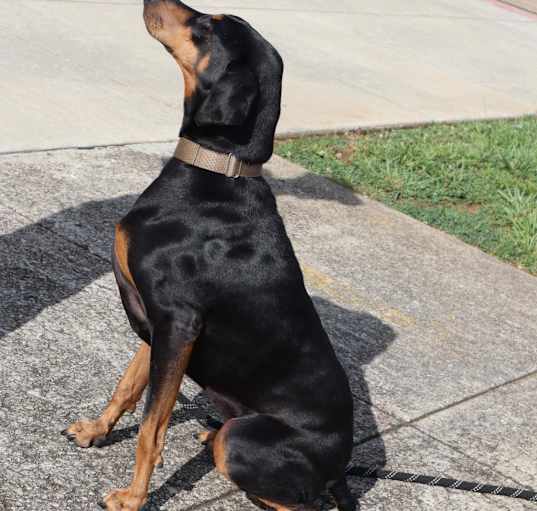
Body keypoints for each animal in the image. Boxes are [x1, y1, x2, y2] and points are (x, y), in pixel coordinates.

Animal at [61, 2, 356, 510]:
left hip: (244, 439)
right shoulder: (160, 325)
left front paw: (132, 498)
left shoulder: (179, 322)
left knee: (295, 497)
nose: (150, 1)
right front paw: (95, 431)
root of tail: (339, 470)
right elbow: (128, 386)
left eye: (205, 27)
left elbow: (152, 428)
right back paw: (206, 433)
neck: (218, 170)